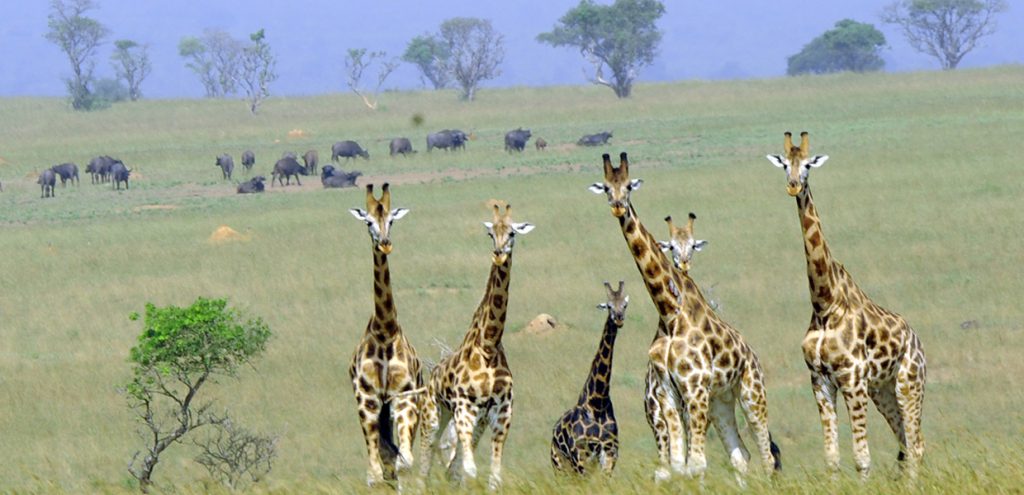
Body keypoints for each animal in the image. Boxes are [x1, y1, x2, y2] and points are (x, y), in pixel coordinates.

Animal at [418, 202, 534, 490]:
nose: (499, 254)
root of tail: (431, 376)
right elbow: (470, 471)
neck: (489, 345)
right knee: (425, 466)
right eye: (491, 233)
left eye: (512, 233)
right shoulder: (463, 405)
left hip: (472, 421)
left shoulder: (502, 410)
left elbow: (492, 477)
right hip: (435, 415)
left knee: (453, 466)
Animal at [550, 281, 630, 475]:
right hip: (560, 464)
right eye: (608, 306)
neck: (598, 402)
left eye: (624, 305)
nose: (619, 318)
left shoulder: (610, 452)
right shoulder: (579, 455)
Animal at [589, 152, 781, 482]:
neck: (669, 313)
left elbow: (696, 465)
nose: (617, 206)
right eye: (605, 187)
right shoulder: (669, 394)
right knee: (741, 455)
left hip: (750, 391)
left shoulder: (693, 387)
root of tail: (753, 355)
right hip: (720, 401)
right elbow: (677, 467)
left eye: (628, 186)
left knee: (767, 456)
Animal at [765, 132, 926, 478]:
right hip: (882, 389)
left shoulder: (852, 379)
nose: (794, 186)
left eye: (808, 164)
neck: (825, 304)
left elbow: (862, 458)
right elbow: (832, 458)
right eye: (785, 163)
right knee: (907, 444)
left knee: (917, 445)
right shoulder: (820, 379)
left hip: (909, 382)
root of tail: (916, 339)